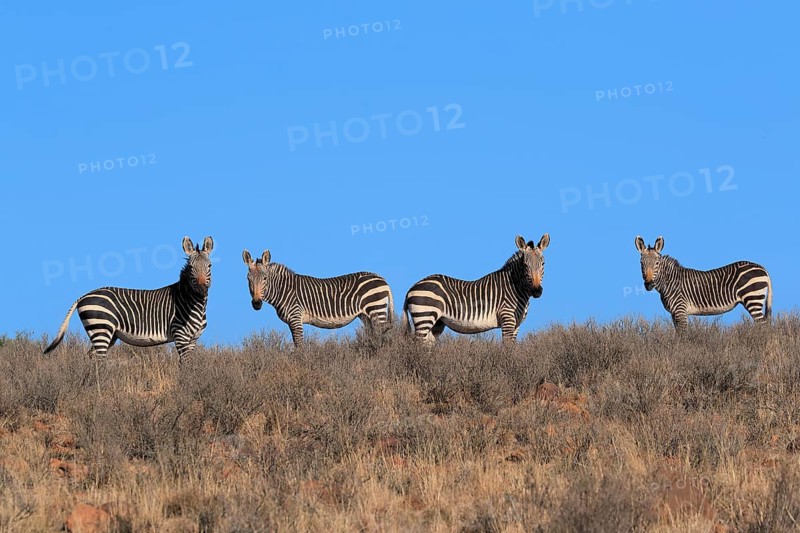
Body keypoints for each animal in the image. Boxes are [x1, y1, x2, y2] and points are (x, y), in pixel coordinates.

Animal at [43, 236, 214, 364]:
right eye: (191, 268)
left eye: (210, 266)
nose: (201, 290)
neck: (192, 303)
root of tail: (84, 296)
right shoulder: (180, 335)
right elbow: (185, 365)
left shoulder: (193, 339)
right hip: (101, 329)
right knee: (99, 360)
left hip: (108, 334)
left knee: (90, 358)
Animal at [242, 249, 394, 347]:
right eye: (248, 279)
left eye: (265, 279)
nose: (256, 304)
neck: (283, 290)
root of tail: (381, 278)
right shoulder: (292, 322)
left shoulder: (296, 318)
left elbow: (299, 345)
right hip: (365, 315)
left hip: (376, 309)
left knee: (382, 335)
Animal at [402, 234, 550, 344]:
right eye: (525, 265)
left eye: (543, 263)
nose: (537, 291)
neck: (516, 288)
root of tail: (411, 288)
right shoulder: (507, 319)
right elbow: (507, 349)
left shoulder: (517, 325)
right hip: (424, 317)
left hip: (437, 323)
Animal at [635, 235, 772, 331]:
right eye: (641, 263)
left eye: (657, 263)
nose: (648, 284)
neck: (670, 282)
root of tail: (763, 268)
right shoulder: (674, 314)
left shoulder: (680, 310)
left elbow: (682, 336)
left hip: (753, 298)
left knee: (764, 326)